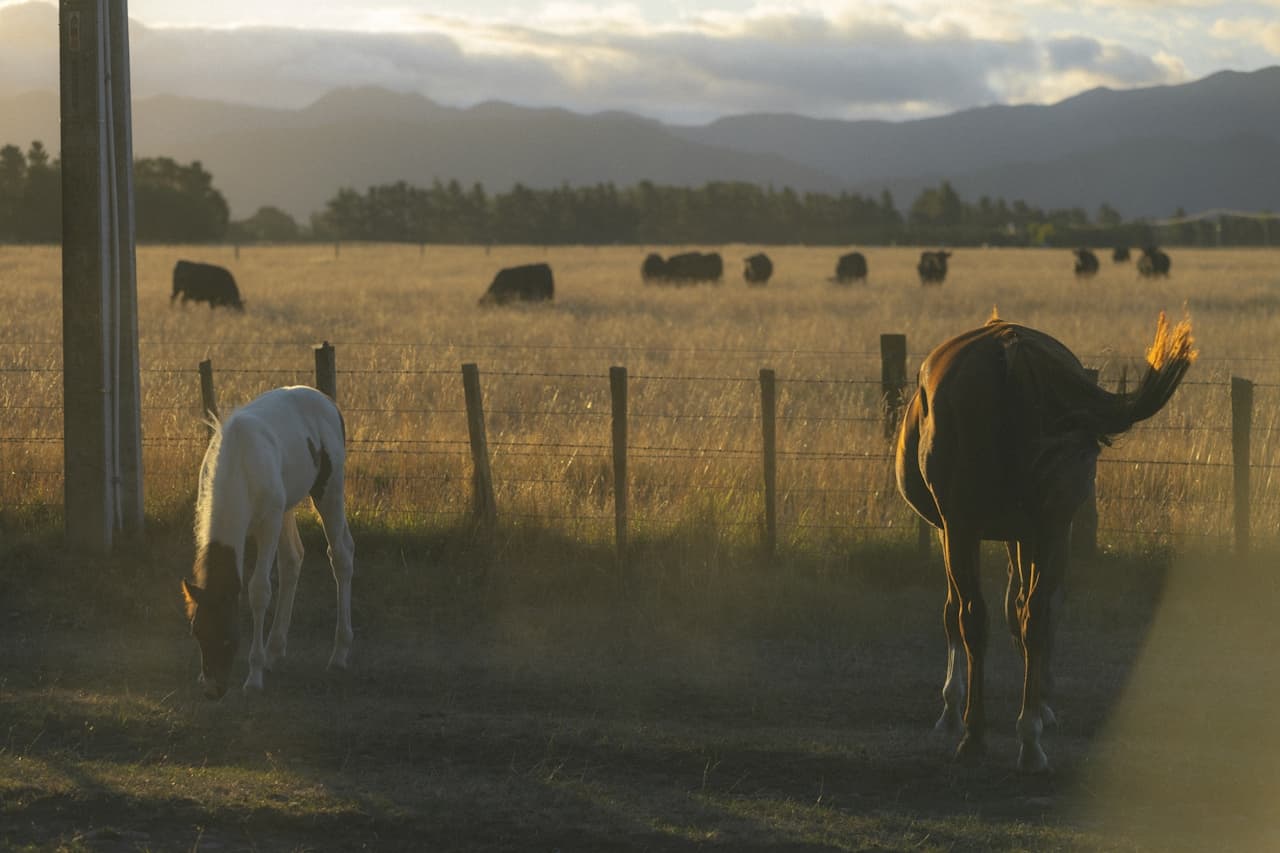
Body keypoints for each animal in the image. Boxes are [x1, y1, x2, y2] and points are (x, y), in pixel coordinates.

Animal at [181, 386, 355, 699]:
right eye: (197, 632)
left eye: (228, 638)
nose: (214, 690)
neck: (238, 462)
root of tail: (327, 402)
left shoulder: (268, 524)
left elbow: (259, 590)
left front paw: (254, 674)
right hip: (287, 506)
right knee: (292, 562)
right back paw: (275, 650)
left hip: (329, 492)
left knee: (341, 557)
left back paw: (339, 653)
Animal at [895, 310, 1195, 772]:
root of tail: (1010, 349)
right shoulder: (1028, 533)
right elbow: (1021, 607)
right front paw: (1037, 705)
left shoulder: (955, 528)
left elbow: (957, 612)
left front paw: (950, 708)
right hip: (1052, 525)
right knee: (1035, 614)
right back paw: (1029, 739)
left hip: (966, 527)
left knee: (974, 616)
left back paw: (976, 734)